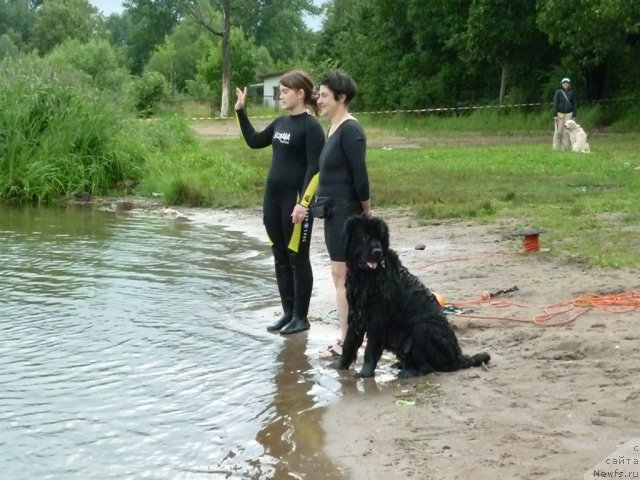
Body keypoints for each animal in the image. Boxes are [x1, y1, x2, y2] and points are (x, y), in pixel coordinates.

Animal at [330, 215, 490, 378]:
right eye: (364, 237)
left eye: (379, 238)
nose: (377, 251)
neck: (365, 276)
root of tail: (457, 357)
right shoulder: (356, 313)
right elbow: (349, 344)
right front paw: (338, 366)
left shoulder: (377, 319)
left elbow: (370, 350)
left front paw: (365, 373)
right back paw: (402, 365)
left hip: (423, 328)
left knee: (427, 366)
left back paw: (408, 372)